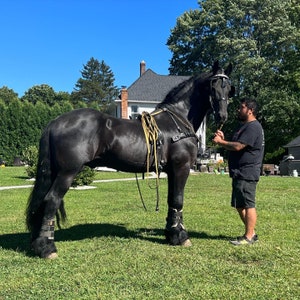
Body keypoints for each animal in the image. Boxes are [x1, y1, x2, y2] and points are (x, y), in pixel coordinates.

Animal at [25, 61, 233, 258]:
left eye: (229, 88)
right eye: (213, 86)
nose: (222, 115)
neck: (178, 122)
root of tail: (55, 121)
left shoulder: (171, 171)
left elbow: (171, 200)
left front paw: (172, 234)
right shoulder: (181, 168)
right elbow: (178, 200)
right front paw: (181, 237)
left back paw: (38, 243)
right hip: (67, 172)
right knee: (52, 200)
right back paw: (47, 248)